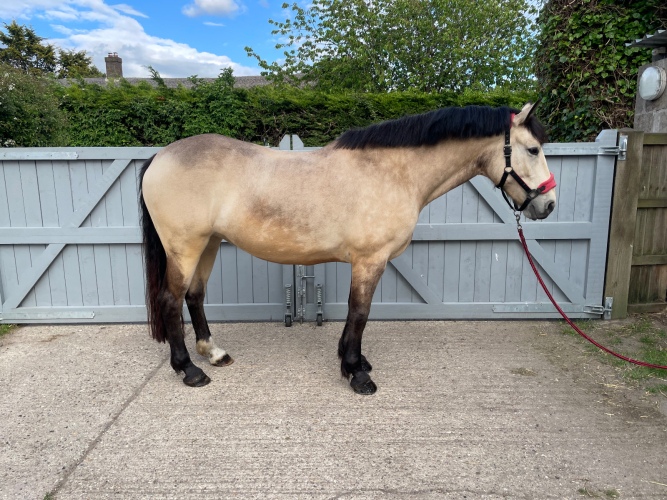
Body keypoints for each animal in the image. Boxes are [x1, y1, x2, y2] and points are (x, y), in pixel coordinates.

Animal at [138, 102, 555, 395]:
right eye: (533, 150)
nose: (548, 205)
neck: (391, 172)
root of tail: (160, 157)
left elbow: (357, 314)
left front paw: (355, 362)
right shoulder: (370, 260)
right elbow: (359, 313)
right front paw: (356, 373)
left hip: (208, 243)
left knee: (194, 296)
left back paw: (214, 353)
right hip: (185, 247)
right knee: (171, 300)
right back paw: (189, 370)